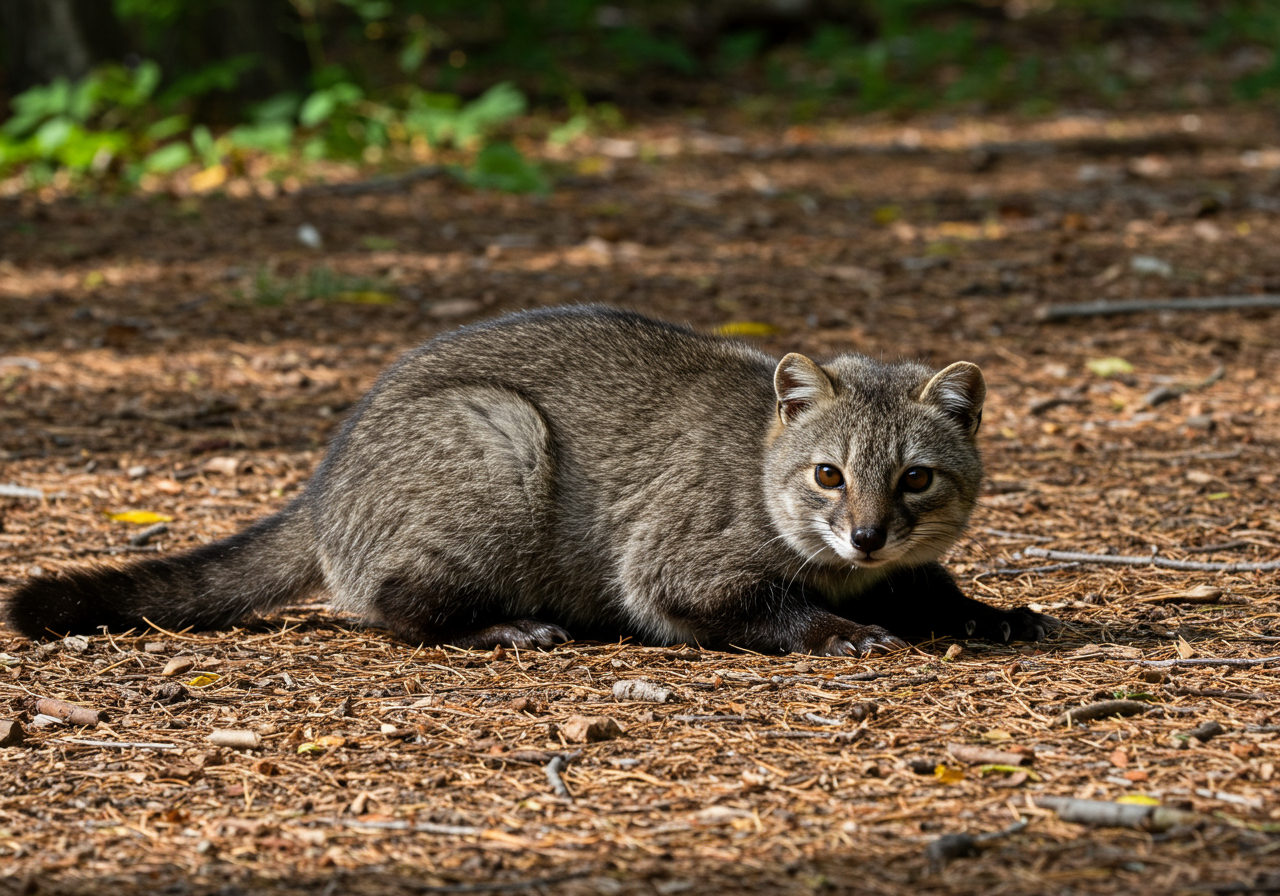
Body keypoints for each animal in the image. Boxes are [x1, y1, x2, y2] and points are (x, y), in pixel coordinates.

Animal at [6, 306, 1055, 655]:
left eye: (915, 479)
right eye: (828, 474)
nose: (867, 535)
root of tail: (322, 484)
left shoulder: (900, 564)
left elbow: (934, 588)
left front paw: (988, 612)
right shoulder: (670, 564)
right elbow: (759, 604)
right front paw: (835, 629)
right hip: (501, 439)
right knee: (393, 606)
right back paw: (497, 624)